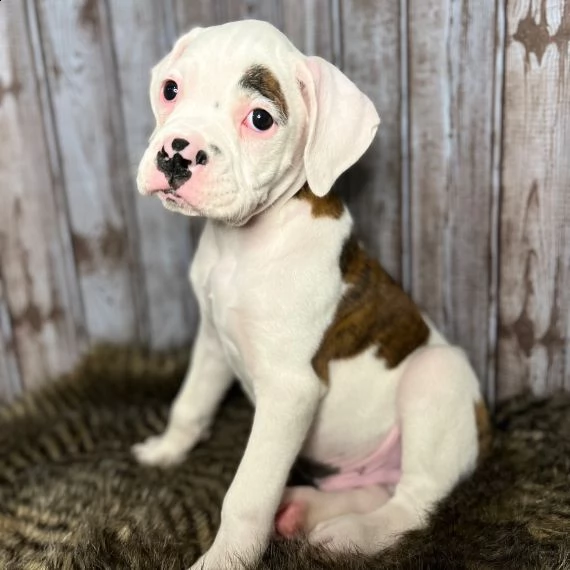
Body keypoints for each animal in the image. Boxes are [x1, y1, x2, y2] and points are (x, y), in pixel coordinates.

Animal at [133, 18, 488, 568]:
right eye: (171, 89)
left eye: (260, 119)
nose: (177, 152)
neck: (242, 243)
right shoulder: (212, 341)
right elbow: (190, 403)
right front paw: (167, 450)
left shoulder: (289, 392)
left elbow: (247, 495)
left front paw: (224, 558)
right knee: (381, 490)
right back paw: (305, 511)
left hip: (436, 374)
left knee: (413, 505)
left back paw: (351, 536)